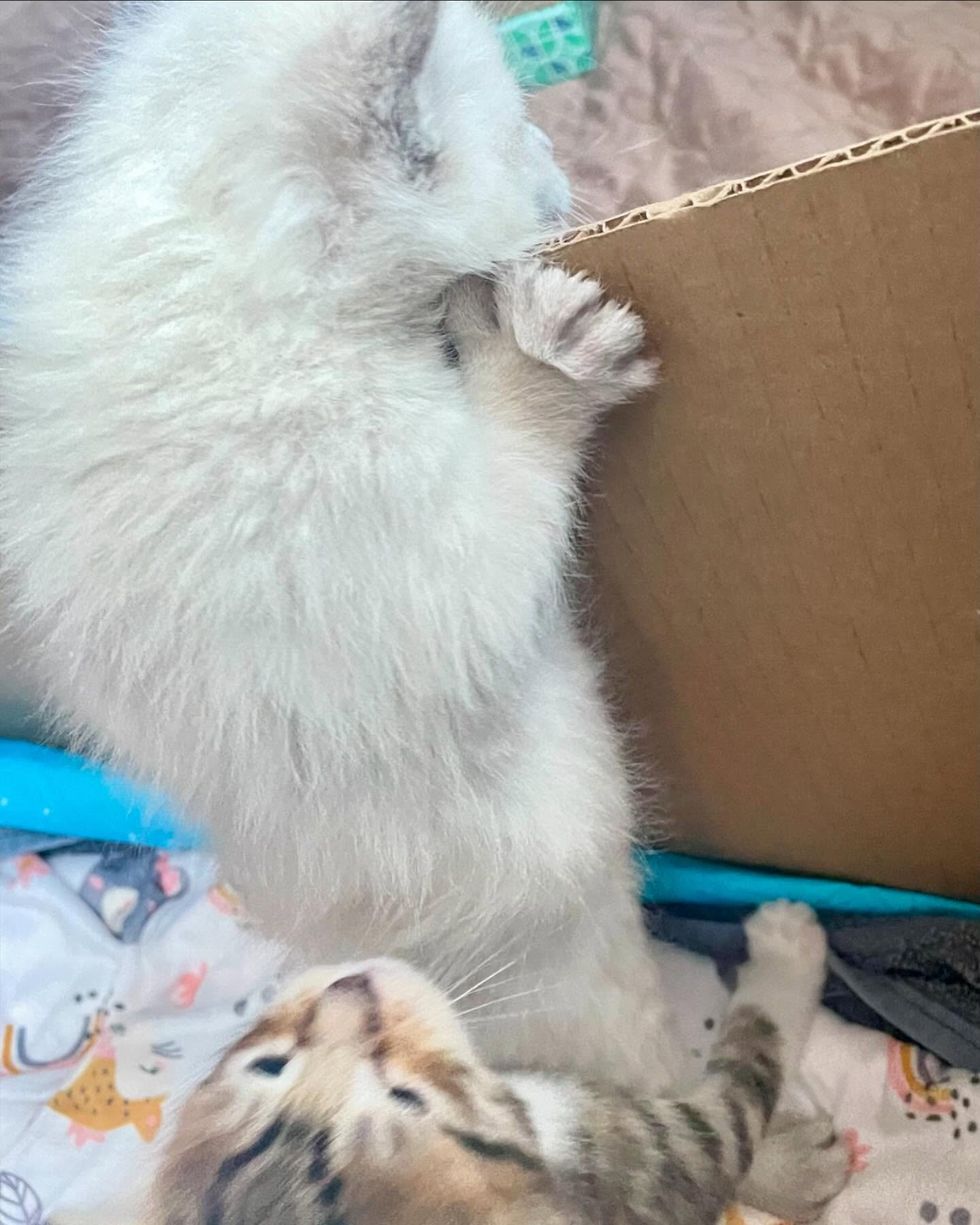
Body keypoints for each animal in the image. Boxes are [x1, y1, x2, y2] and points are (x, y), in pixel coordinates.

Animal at [0, 0, 676, 1087]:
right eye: (519, 132)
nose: (561, 163)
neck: (219, 259)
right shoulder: (412, 561)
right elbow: (510, 499)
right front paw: (544, 359)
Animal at [151, 901, 847, 1225]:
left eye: (269, 1066)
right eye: (407, 1097)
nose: (352, 991)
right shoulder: (672, 1147)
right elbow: (746, 1069)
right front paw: (787, 950)